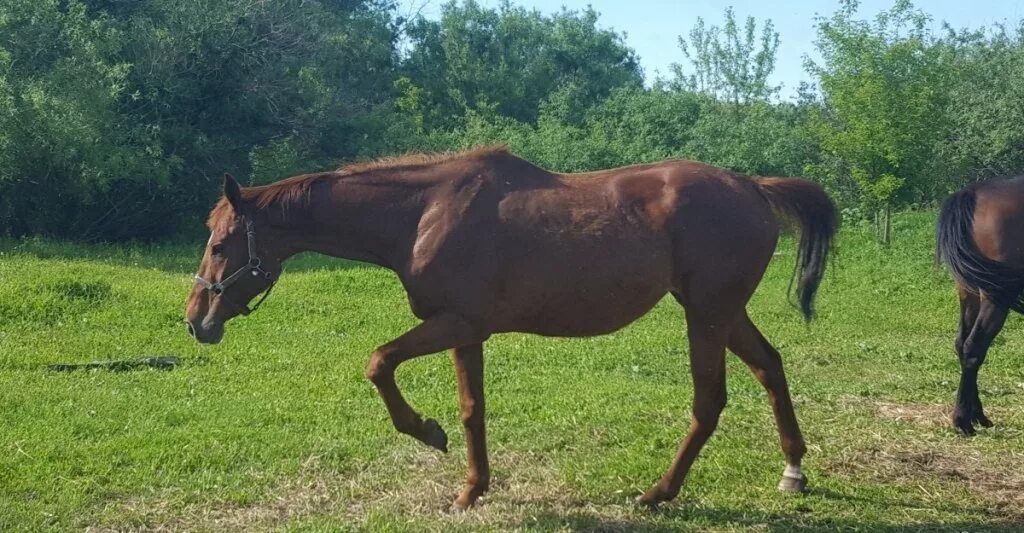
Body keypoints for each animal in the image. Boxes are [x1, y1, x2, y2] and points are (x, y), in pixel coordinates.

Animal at [186, 145, 831, 507]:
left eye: (219, 244)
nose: (196, 321)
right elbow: (473, 410)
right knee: (770, 367)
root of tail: (753, 187)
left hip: (707, 314)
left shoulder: (454, 322)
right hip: (723, 311)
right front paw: (471, 489)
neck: (422, 214)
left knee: (709, 401)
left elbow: (378, 363)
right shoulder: (466, 332)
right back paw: (793, 470)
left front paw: (426, 431)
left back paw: (659, 492)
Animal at [937, 176, 1024, 433]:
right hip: (994, 297)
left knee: (961, 343)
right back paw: (963, 420)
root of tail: (972, 192)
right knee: (974, 347)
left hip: (968, 291)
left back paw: (976, 415)